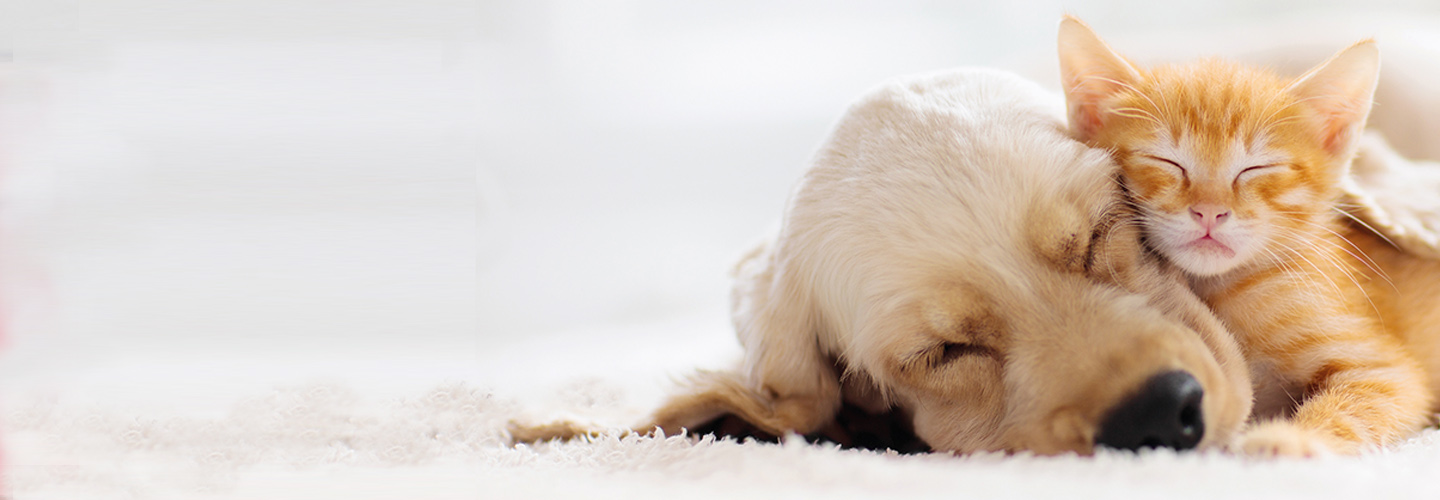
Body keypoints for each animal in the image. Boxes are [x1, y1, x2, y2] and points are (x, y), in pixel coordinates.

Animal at [1054, 16, 1434, 458]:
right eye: (1167, 161)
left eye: (1255, 168)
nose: (1209, 211)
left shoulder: (1384, 369)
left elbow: (1359, 404)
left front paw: (1289, 439)